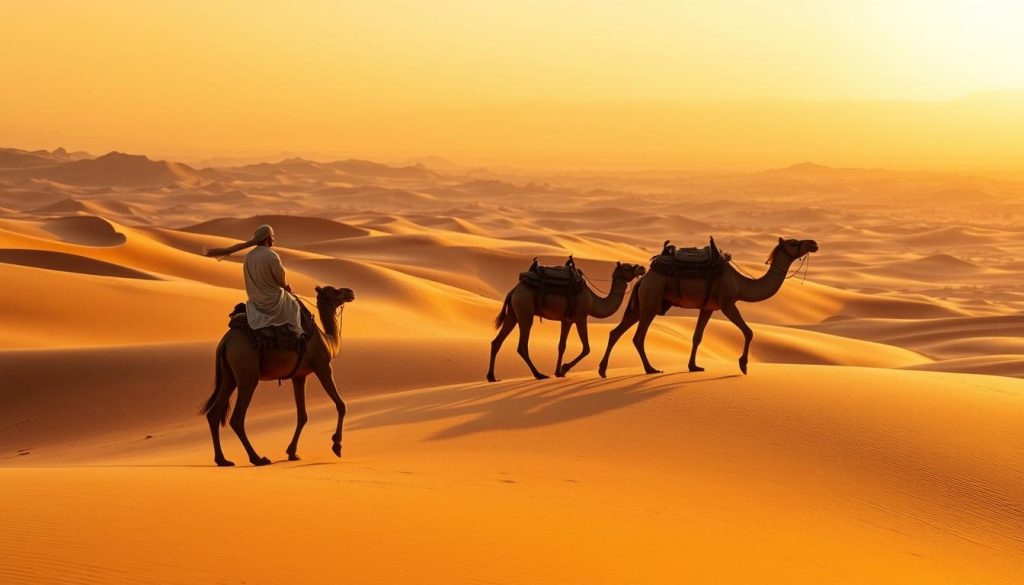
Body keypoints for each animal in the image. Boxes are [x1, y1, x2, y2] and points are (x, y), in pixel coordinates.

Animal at [200, 285, 355, 467]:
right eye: (336, 292)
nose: (350, 292)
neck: (328, 341)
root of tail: (226, 342)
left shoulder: (299, 376)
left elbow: (302, 415)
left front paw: (292, 452)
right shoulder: (323, 366)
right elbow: (341, 405)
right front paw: (337, 445)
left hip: (229, 376)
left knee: (214, 413)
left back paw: (222, 460)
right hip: (247, 372)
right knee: (237, 418)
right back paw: (258, 458)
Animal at [487, 261, 646, 382]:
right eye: (627, 267)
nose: (642, 268)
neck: (593, 301)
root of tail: (513, 291)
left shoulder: (567, 320)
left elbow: (561, 346)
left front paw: (558, 371)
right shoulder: (581, 317)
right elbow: (586, 348)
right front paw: (564, 369)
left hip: (514, 313)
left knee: (497, 341)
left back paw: (492, 377)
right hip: (525, 311)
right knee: (522, 346)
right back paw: (539, 374)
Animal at [598, 237, 818, 377]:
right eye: (794, 243)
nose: (814, 243)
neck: (740, 283)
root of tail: (642, 280)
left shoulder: (708, 308)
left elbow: (697, 337)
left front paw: (694, 366)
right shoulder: (728, 304)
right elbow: (749, 331)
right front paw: (743, 365)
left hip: (641, 305)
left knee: (616, 331)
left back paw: (603, 370)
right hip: (650, 302)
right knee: (638, 337)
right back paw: (650, 369)